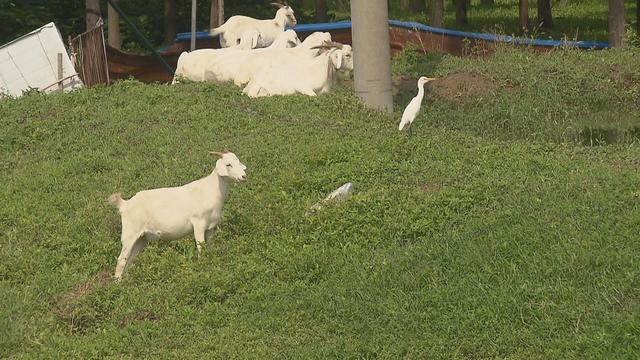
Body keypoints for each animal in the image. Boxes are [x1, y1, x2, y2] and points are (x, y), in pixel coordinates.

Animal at [107, 150, 248, 280]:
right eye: (228, 164)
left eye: (238, 161)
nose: (244, 176)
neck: (210, 190)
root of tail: (125, 204)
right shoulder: (199, 224)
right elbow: (201, 248)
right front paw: (202, 267)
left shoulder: (211, 227)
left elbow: (209, 247)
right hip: (129, 234)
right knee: (121, 259)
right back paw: (118, 283)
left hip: (142, 239)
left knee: (130, 258)